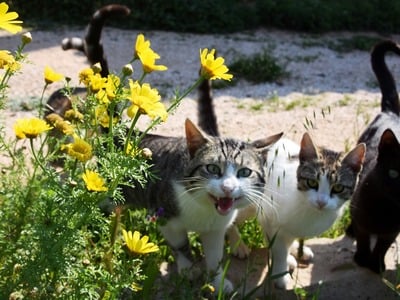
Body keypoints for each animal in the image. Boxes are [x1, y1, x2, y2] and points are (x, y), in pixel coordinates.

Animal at [123, 118, 282, 292]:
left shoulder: (215, 229)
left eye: (245, 172)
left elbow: (214, 256)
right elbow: (180, 245)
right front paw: (188, 269)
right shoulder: (164, 216)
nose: (228, 188)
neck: (205, 209)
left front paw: (217, 283)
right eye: (212, 168)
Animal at [197, 77, 366, 290]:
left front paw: (293, 252)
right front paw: (281, 273)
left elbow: (285, 240)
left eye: (338, 188)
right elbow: (277, 248)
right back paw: (238, 244)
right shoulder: (270, 216)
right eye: (312, 182)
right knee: (229, 217)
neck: (308, 210)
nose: (321, 202)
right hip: (245, 202)